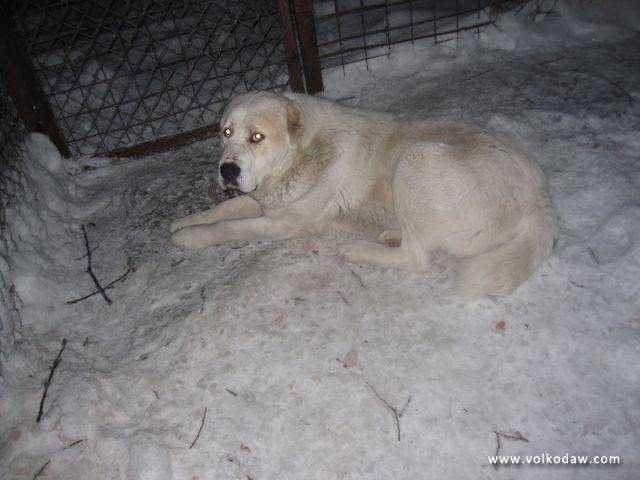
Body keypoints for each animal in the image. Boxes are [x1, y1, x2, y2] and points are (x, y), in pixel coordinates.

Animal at [171, 90, 556, 296]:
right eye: (226, 133)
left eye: (256, 137)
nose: (227, 170)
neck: (303, 152)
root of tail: (540, 199)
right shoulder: (266, 201)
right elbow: (226, 210)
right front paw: (184, 222)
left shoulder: (284, 222)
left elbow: (228, 228)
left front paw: (190, 238)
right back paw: (387, 235)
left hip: (417, 158)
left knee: (417, 257)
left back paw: (358, 250)